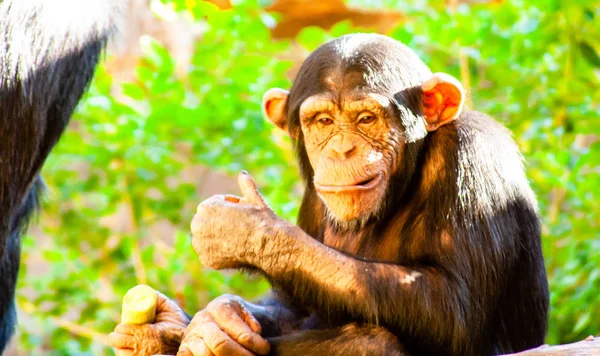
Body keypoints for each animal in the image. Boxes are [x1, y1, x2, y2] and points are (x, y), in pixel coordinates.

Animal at [108, 33, 548, 356]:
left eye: (366, 119)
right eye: (322, 121)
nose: (340, 149)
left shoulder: (474, 156)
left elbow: (457, 309)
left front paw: (246, 232)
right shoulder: (313, 199)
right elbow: (297, 304)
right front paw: (216, 319)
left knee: (371, 342)